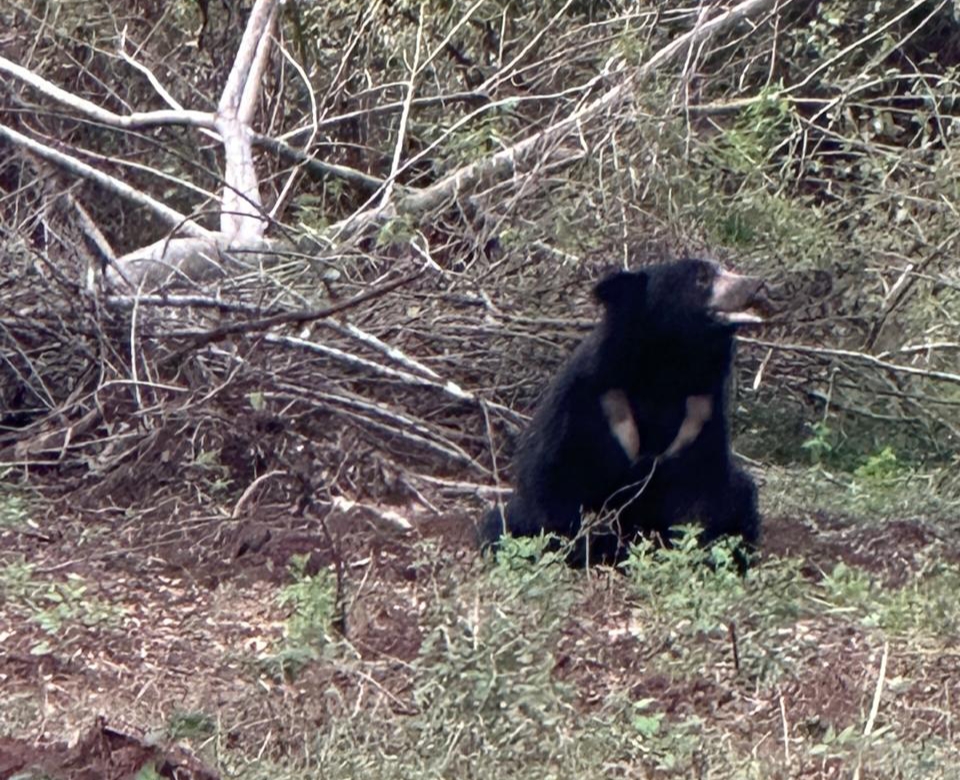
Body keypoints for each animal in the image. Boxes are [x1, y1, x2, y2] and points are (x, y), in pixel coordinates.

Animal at [484, 256, 760, 568]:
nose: (755, 285)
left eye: (722, 270)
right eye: (701, 278)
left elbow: (704, 492)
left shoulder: (700, 415)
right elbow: (560, 483)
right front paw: (588, 545)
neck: (671, 368)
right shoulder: (596, 403)